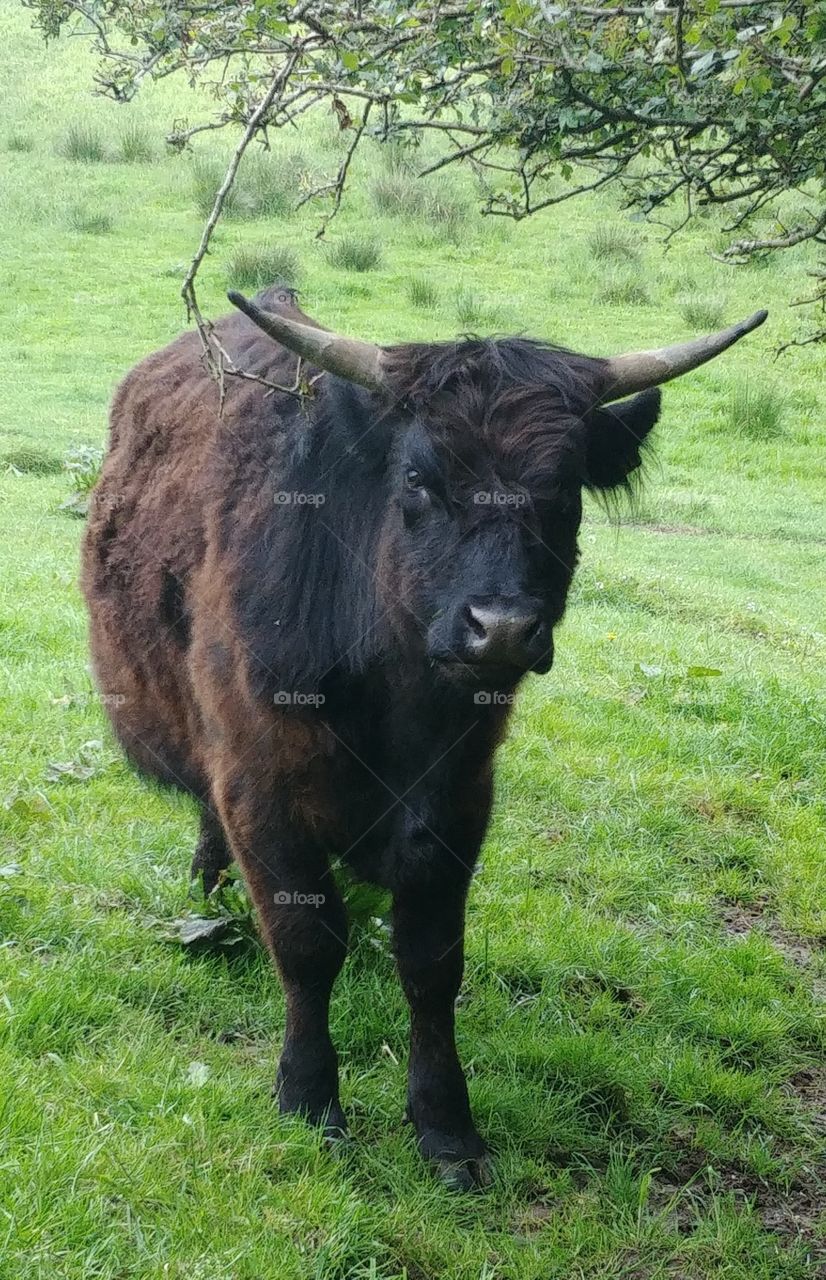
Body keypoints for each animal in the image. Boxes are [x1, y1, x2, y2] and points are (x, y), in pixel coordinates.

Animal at [83, 284, 766, 1188]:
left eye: (565, 490)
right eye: (419, 480)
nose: (501, 628)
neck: (394, 697)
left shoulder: (459, 798)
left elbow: (433, 960)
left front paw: (446, 1128)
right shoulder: (260, 782)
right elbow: (306, 944)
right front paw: (310, 1100)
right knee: (208, 820)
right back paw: (208, 889)